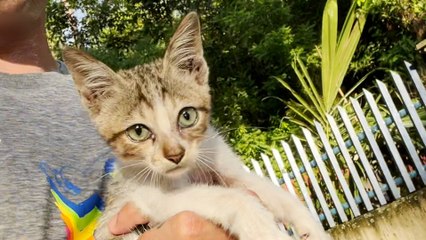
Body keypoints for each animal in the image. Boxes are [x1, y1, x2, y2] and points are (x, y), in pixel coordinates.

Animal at [63, 11, 332, 240]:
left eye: (187, 116)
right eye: (138, 131)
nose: (175, 155)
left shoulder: (228, 166)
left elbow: (273, 192)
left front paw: (312, 228)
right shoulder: (147, 196)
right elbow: (229, 198)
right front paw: (265, 229)